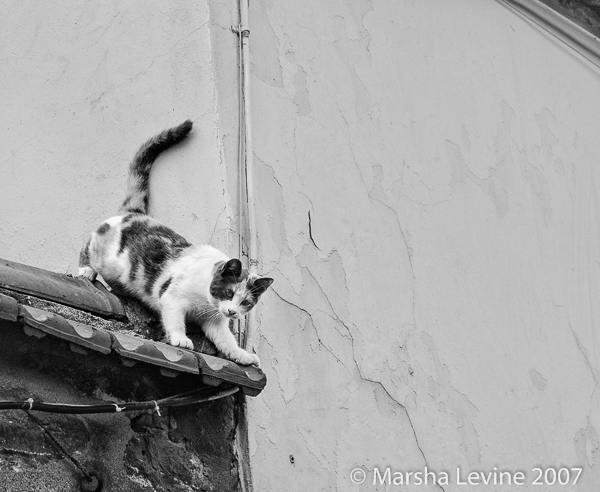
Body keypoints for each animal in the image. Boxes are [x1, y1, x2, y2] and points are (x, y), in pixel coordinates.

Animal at [77, 119, 272, 366]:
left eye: (245, 302)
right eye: (229, 293)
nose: (232, 312)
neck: (205, 302)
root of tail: (135, 214)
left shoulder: (215, 321)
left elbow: (226, 340)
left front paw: (241, 355)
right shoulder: (172, 298)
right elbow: (175, 320)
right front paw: (181, 339)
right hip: (107, 257)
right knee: (89, 244)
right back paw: (85, 270)